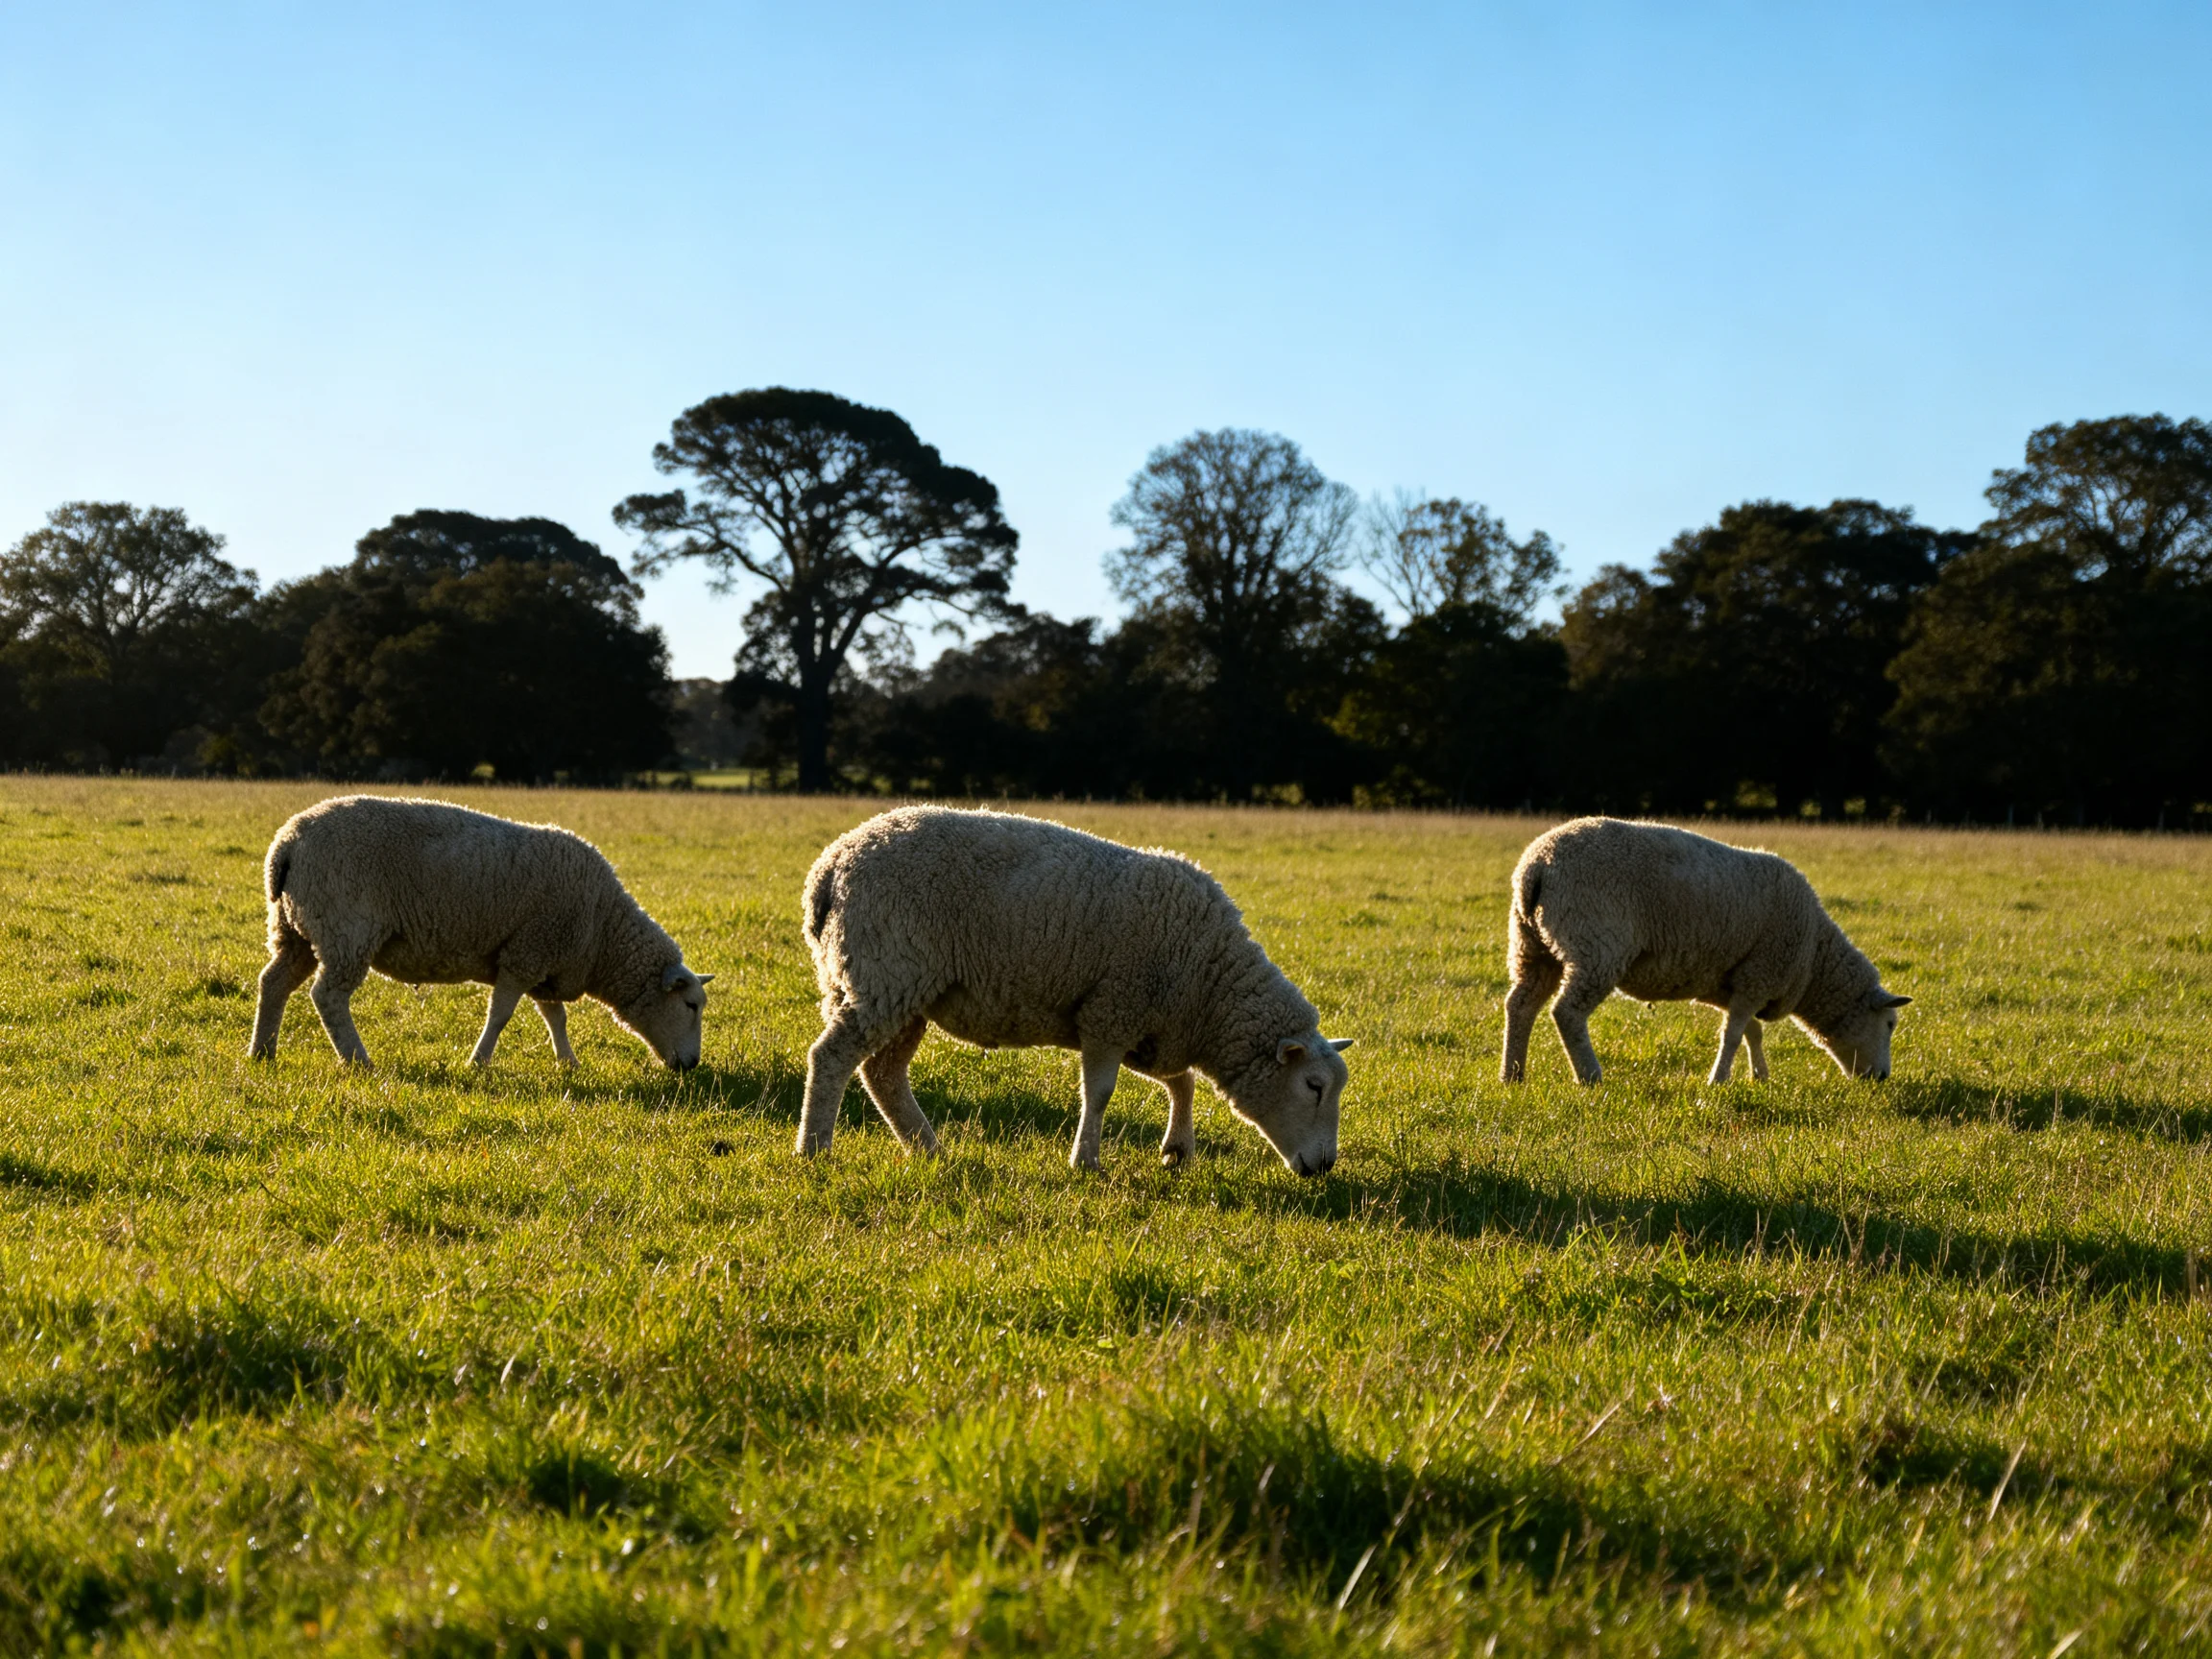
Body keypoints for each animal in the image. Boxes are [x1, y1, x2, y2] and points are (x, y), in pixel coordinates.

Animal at [247, 795, 712, 1071]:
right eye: (690, 1005)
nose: (691, 1066)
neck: (603, 934)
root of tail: (287, 843)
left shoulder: (542, 960)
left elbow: (555, 1016)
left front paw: (568, 1062)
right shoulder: (526, 953)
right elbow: (501, 1015)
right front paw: (479, 1061)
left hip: (295, 929)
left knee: (273, 982)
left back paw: (262, 1051)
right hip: (345, 928)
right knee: (327, 996)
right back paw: (359, 1061)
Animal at [797, 805, 1352, 1174]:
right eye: (1314, 1086)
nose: (1325, 1165)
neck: (1210, 988)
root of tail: (831, 864)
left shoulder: (1144, 1025)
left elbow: (1181, 1081)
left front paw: (1177, 1149)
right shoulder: (1112, 1012)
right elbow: (1101, 1093)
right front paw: (1085, 1161)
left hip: (887, 988)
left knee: (882, 1074)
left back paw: (928, 1148)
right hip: (886, 974)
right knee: (833, 1057)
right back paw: (815, 1147)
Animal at [1500, 816, 1909, 1085]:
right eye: (1890, 1023)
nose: (1882, 1078)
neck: (1814, 962)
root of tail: (1536, 867)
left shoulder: (1735, 981)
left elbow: (1751, 1031)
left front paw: (1759, 1076)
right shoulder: (1760, 973)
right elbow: (1733, 1034)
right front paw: (1719, 1080)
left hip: (1531, 946)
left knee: (1520, 1006)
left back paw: (1512, 1075)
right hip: (1595, 946)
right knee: (1566, 1013)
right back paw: (1590, 1075)